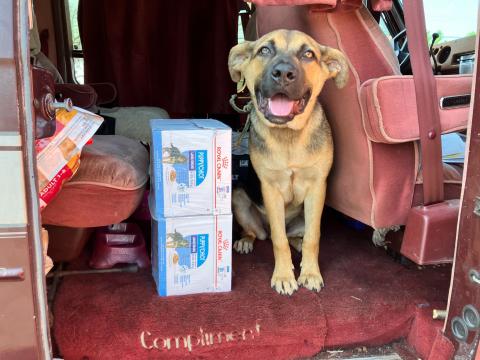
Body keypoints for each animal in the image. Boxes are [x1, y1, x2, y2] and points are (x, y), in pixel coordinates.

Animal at [229, 29, 348, 296]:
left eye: (308, 54)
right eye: (264, 50)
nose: (283, 73)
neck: (288, 136)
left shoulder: (317, 187)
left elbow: (313, 238)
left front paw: (310, 274)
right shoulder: (270, 189)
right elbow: (279, 240)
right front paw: (284, 276)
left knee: (298, 237)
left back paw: (300, 248)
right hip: (239, 199)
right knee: (261, 234)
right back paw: (245, 241)